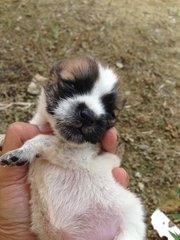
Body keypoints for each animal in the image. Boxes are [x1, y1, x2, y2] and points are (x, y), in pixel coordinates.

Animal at [0, 56, 146, 240]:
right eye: (71, 85)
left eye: (110, 112)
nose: (89, 115)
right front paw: (2, 138)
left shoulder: (79, 155)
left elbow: (44, 139)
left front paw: (24, 151)